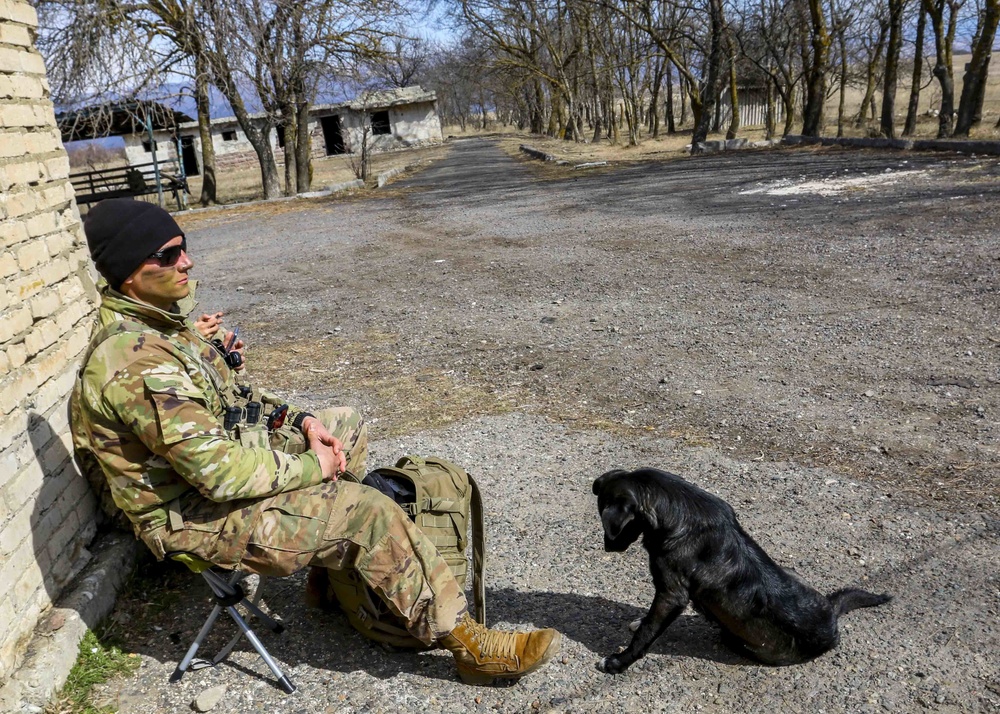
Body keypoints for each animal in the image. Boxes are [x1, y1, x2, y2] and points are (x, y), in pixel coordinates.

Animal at [592, 464, 892, 672]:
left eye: (609, 522)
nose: (607, 548)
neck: (674, 507)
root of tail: (831, 613)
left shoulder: (671, 595)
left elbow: (647, 632)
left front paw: (619, 662)